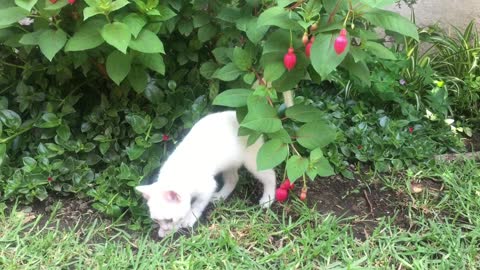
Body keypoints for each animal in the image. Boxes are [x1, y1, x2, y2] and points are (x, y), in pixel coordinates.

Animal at [137, 110, 276, 237]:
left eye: (169, 220)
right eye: (156, 220)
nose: (163, 231)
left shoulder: (208, 186)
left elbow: (198, 204)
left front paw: (190, 218)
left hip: (256, 160)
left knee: (270, 175)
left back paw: (267, 199)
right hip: (229, 163)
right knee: (233, 179)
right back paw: (220, 196)